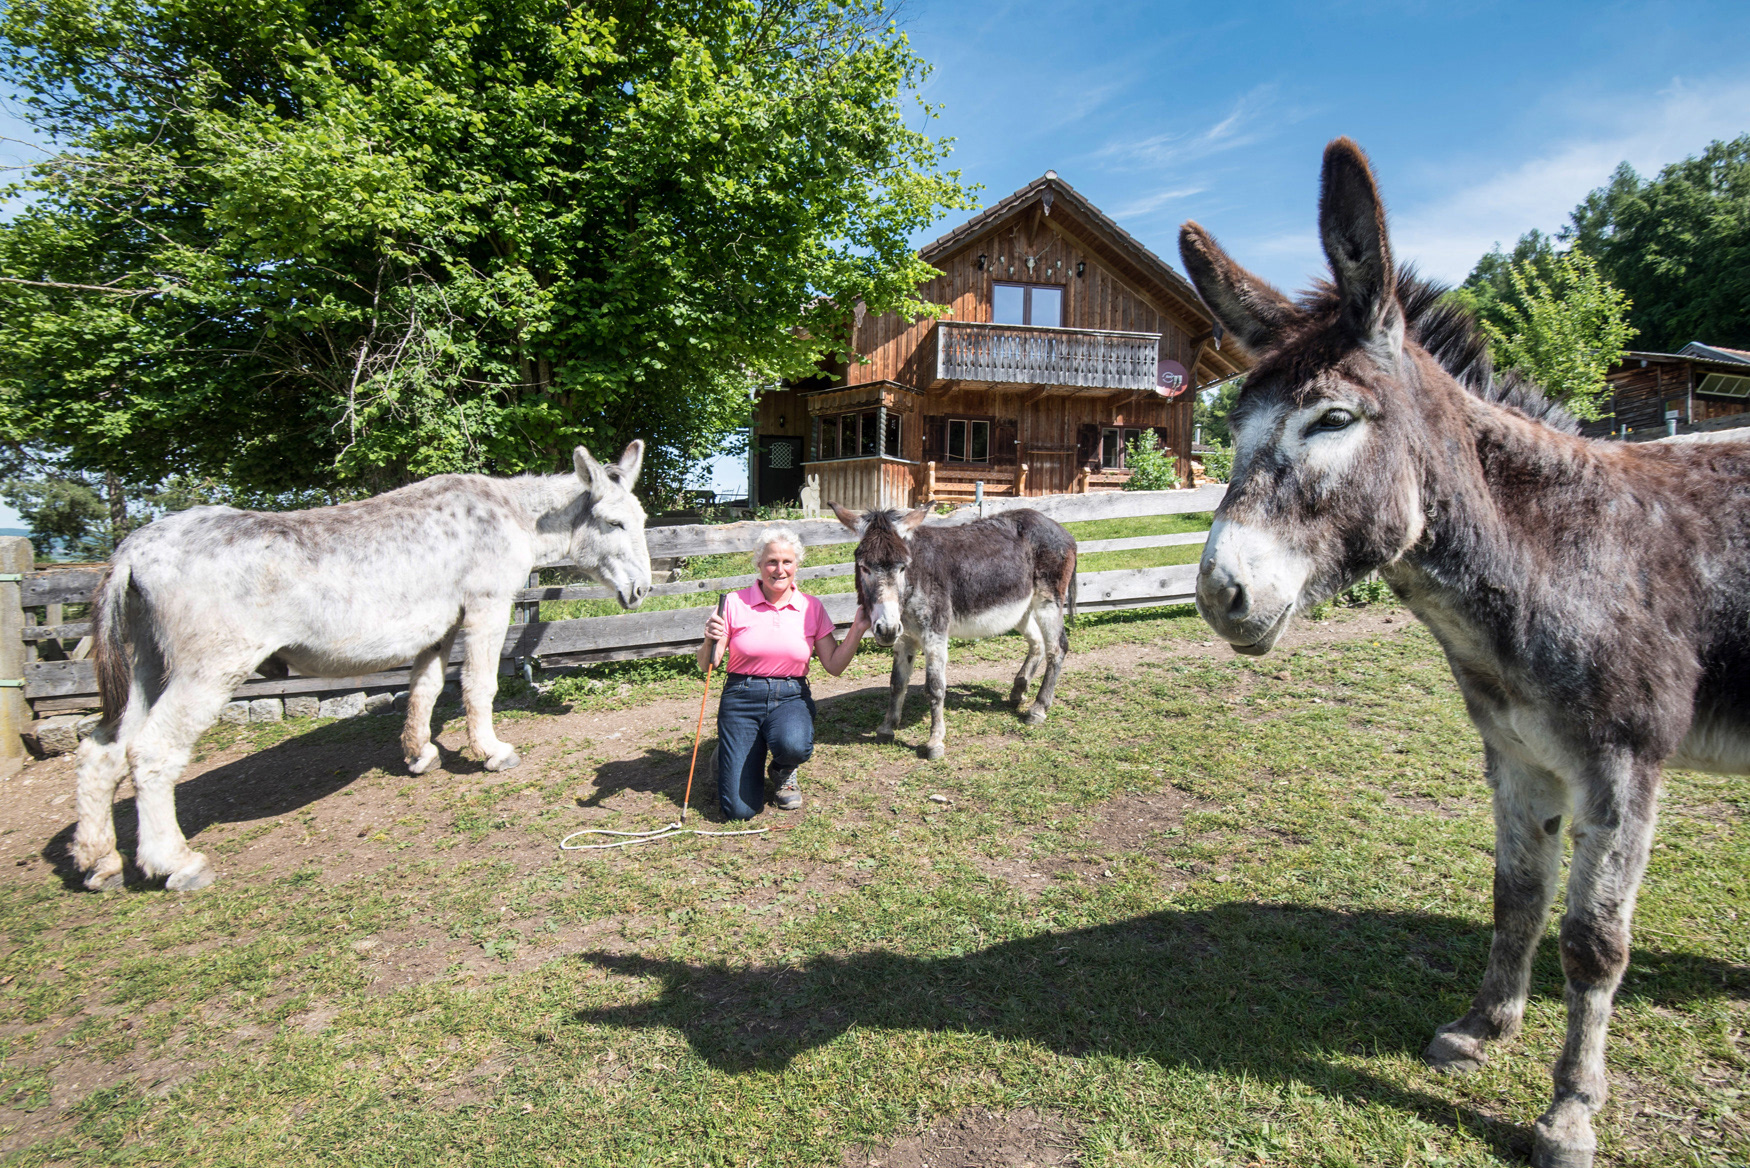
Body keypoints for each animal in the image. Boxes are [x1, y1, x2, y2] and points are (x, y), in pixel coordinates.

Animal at [70, 442, 651, 893]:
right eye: (614, 523)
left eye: (644, 522)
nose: (643, 591)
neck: (511, 515)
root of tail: (134, 547)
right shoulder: (486, 607)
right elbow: (479, 684)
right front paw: (491, 752)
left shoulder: (439, 625)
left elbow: (426, 686)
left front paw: (419, 754)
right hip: (209, 668)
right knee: (152, 753)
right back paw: (175, 863)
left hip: (150, 663)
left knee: (104, 750)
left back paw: (101, 862)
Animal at [831, 504, 1077, 759]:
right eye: (864, 567)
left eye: (902, 568)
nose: (886, 629)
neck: (913, 582)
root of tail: (1054, 525)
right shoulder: (904, 637)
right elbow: (897, 682)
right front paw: (887, 728)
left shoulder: (935, 634)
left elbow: (935, 687)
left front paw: (935, 742)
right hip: (1020, 608)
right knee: (1037, 643)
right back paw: (1018, 691)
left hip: (1048, 600)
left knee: (1057, 648)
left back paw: (1038, 709)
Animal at [1178, 138, 1750, 1168]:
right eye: (1232, 429)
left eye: (1332, 420)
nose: (1217, 593)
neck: (1553, 559)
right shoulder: (1518, 755)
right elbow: (1517, 895)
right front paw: (1483, 1029)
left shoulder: (1625, 767)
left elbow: (1593, 942)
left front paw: (1570, 1112)